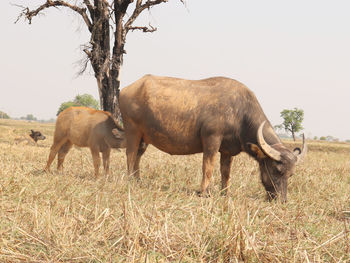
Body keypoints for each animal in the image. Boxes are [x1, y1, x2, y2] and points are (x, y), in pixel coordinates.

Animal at [119, 74, 306, 202]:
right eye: (276, 170)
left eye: (291, 175)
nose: (281, 200)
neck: (240, 113)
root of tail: (127, 89)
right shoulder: (211, 140)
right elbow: (208, 167)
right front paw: (204, 192)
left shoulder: (228, 150)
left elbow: (226, 172)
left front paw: (225, 193)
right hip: (133, 131)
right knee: (130, 154)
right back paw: (130, 180)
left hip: (144, 137)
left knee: (138, 156)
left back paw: (138, 180)